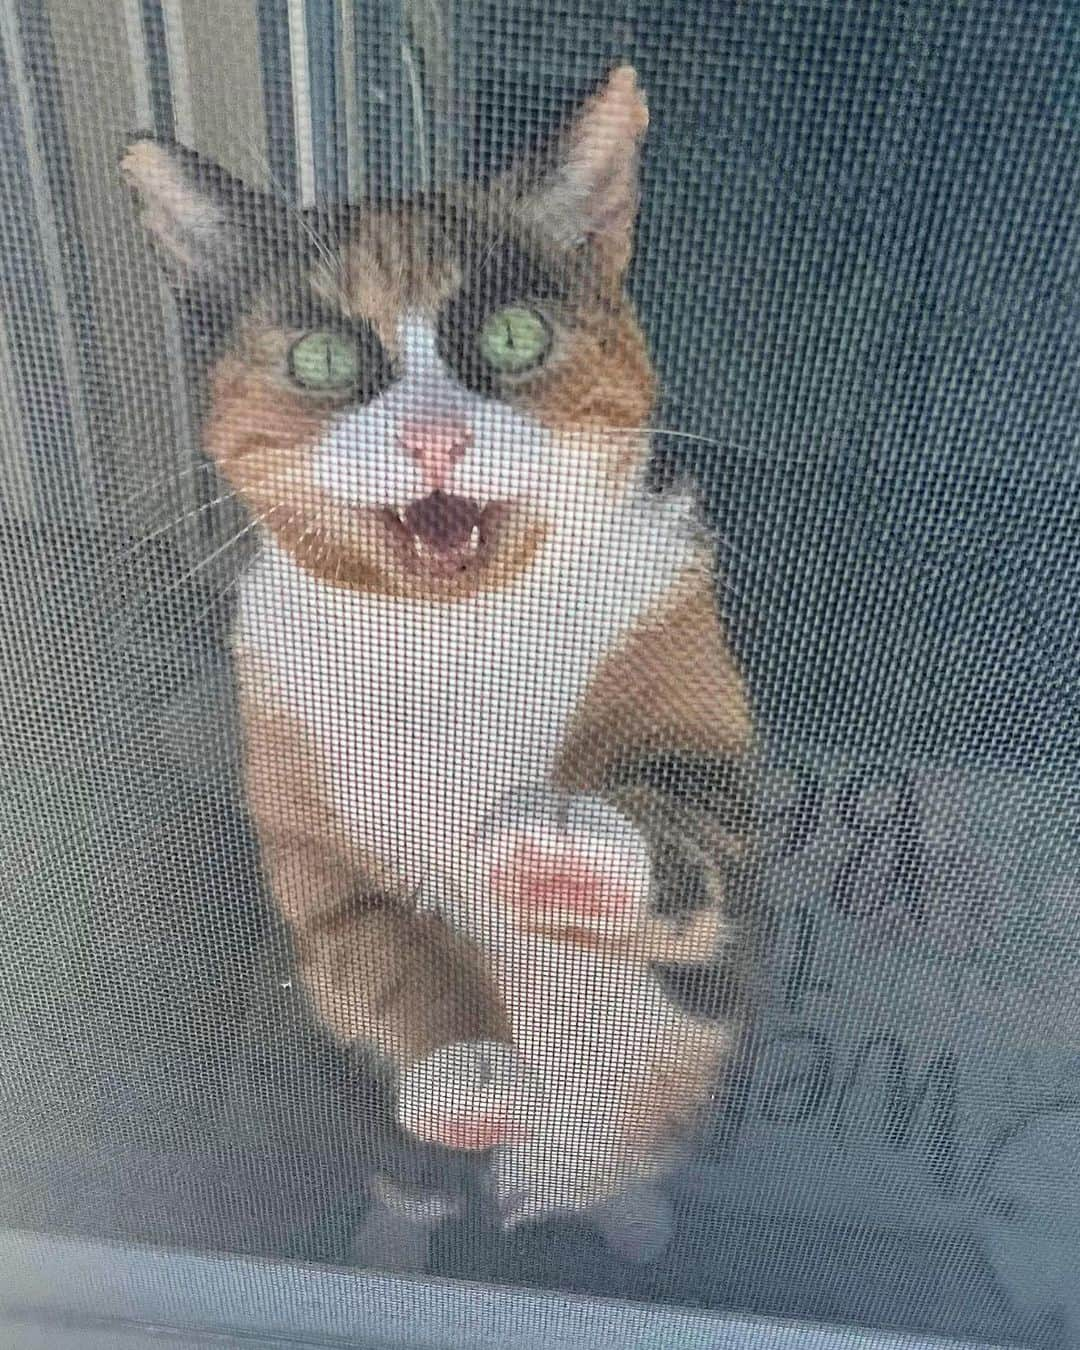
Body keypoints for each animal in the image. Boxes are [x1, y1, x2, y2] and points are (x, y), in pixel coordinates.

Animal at [122, 65, 756, 1252]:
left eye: (511, 336)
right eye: (323, 356)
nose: (434, 439)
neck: (457, 635)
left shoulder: (721, 762)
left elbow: (687, 819)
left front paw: (563, 845)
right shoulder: (312, 848)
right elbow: (387, 948)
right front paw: (467, 1068)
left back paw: (633, 1215)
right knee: (406, 1181)